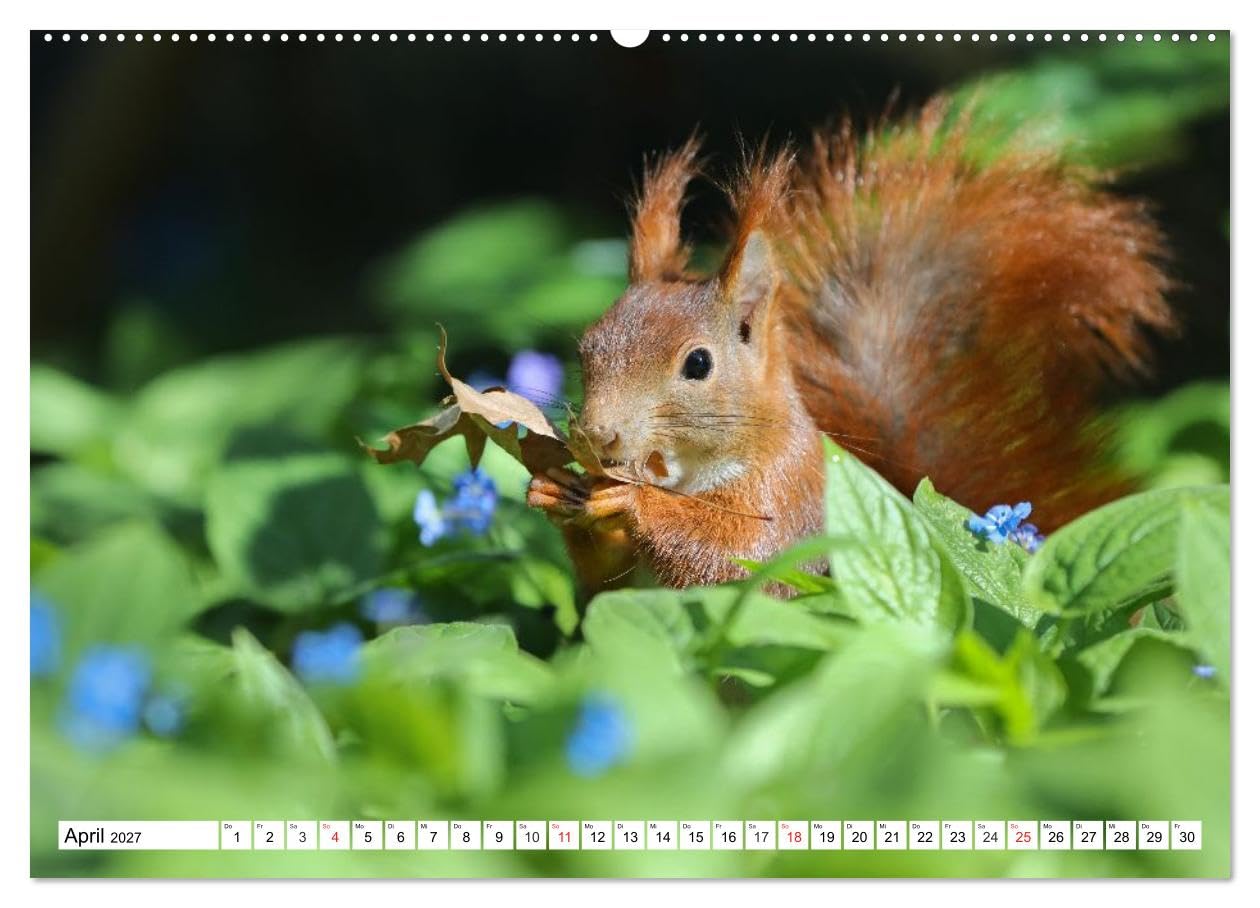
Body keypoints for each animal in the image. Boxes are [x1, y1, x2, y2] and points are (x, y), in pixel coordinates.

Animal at [526, 98, 1175, 593]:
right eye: (587, 346)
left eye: (699, 363)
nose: (598, 435)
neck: (687, 477)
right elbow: (604, 580)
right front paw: (556, 489)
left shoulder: (791, 492)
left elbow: (743, 553)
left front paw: (630, 503)